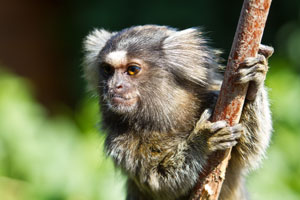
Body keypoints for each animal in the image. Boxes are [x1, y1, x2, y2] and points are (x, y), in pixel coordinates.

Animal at [82, 25, 274, 200]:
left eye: (132, 70)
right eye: (107, 70)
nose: (114, 86)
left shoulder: (215, 95)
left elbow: (247, 150)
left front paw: (254, 83)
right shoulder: (119, 141)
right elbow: (160, 181)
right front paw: (202, 141)